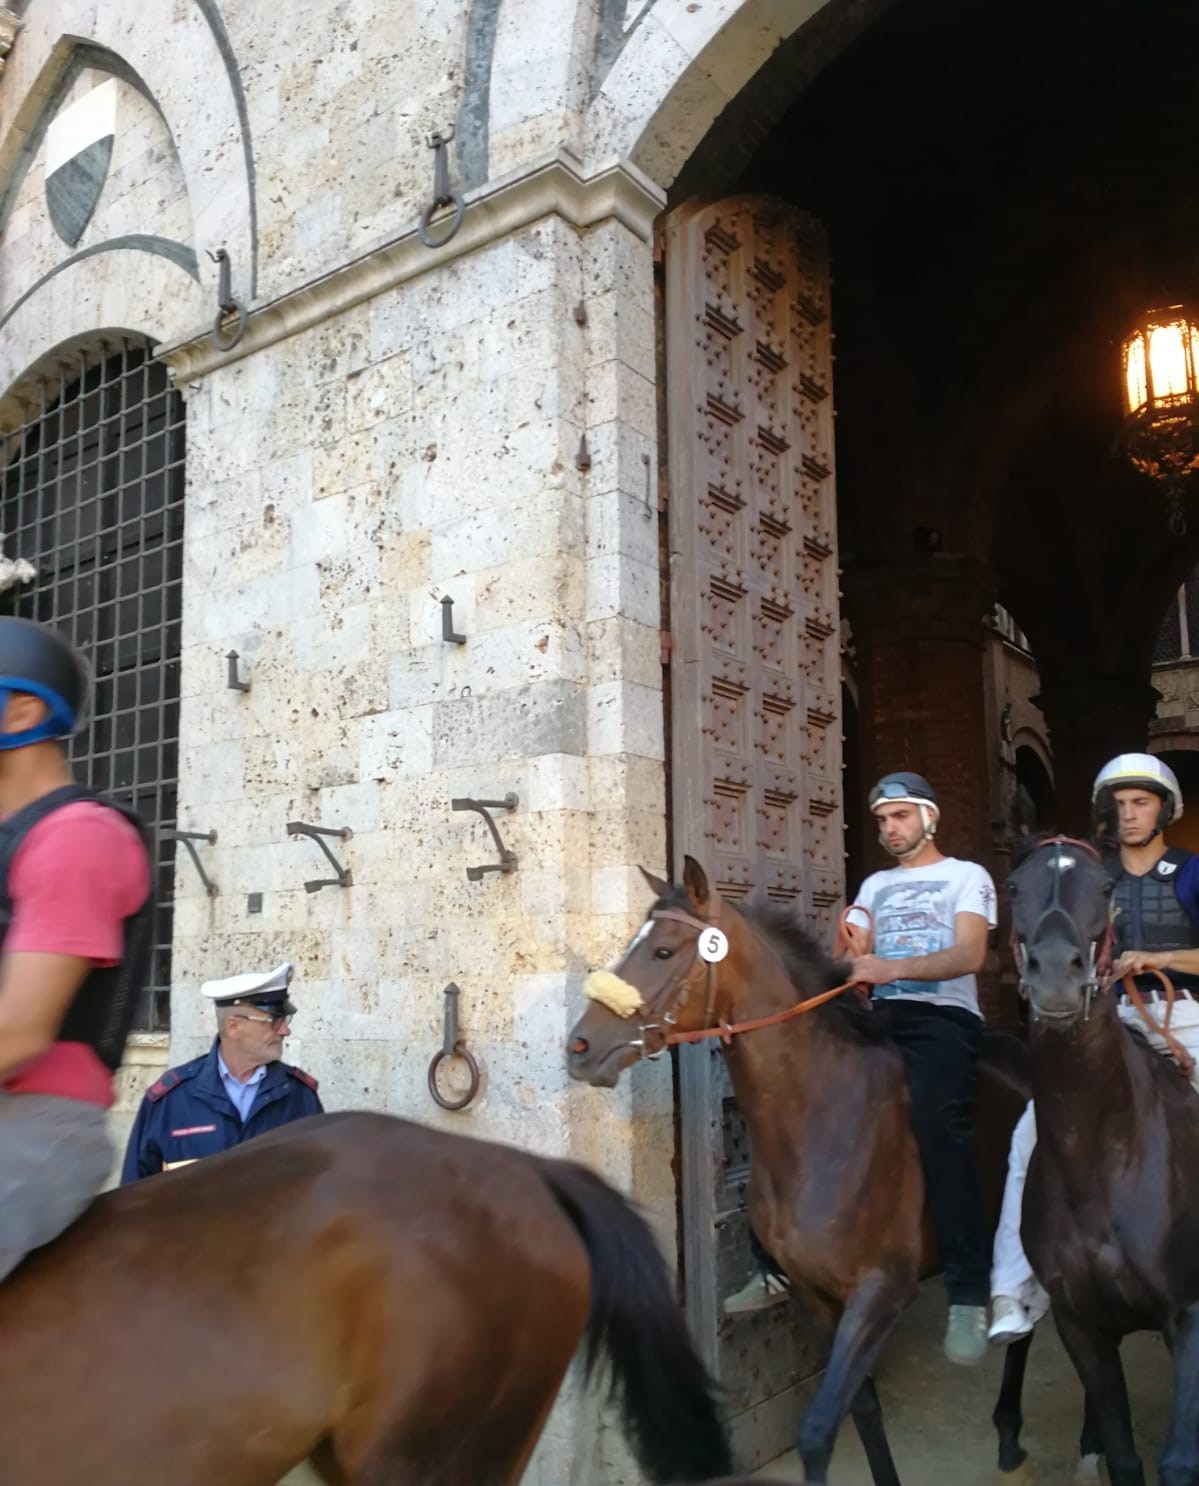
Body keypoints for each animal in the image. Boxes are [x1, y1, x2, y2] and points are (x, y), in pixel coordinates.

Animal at [566, 855, 1074, 1486]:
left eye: (663, 951)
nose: (580, 1046)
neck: (822, 1120)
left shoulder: (880, 1292)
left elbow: (817, 1430)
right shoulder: (817, 1296)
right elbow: (862, 1409)